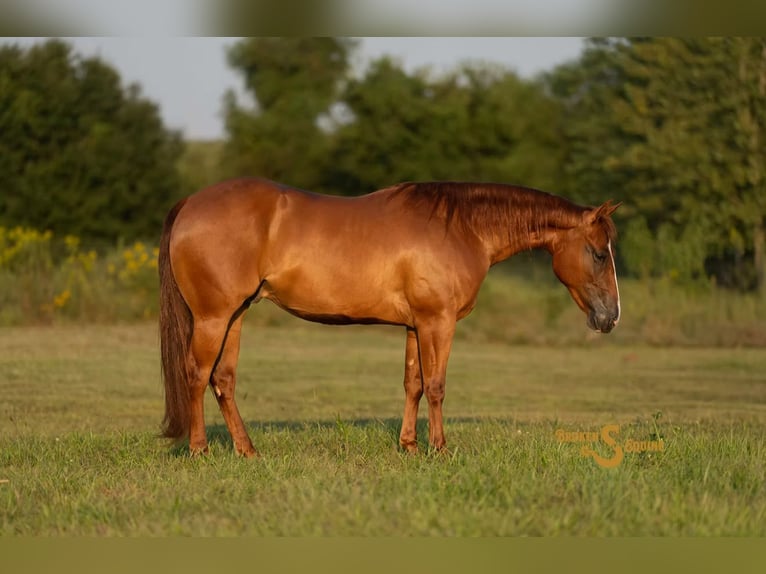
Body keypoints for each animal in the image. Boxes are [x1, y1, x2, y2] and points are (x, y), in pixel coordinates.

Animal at [158, 178, 621, 457]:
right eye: (600, 253)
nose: (611, 316)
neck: (462, 228)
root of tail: (190, 203)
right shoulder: (438, 322)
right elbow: (436, 386)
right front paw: (439, 448)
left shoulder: (416, 325)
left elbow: (413, 383)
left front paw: (410, 445)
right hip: (213, 318)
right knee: (196, 374)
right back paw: (199, 449)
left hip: (235, 315)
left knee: (223, 379)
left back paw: (248, 450)